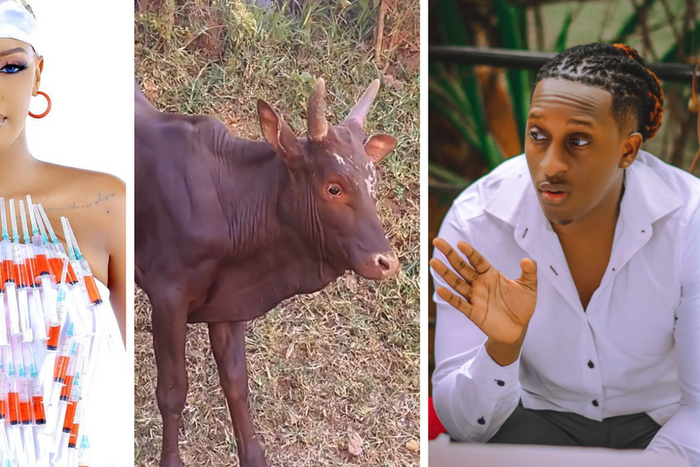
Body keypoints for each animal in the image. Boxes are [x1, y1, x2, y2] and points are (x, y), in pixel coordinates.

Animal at [134, 77, 400, 467]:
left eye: (372, 183)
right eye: (333, 187)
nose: (386, 262)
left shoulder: (228, 304)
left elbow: (235, 383)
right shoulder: (167, 298)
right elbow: (172, 390)